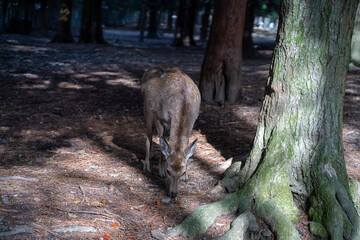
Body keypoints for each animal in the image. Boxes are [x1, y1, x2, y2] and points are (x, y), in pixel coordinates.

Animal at [141, 65, 202, 199]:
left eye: (182, 171)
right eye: (169, 171)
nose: (173, 194)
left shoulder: (192, 123)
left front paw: (187, 176)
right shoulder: (161, 118)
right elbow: (162, 144)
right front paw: (161, 171)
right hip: (147, 110)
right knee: (148, 135)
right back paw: (146, 165)